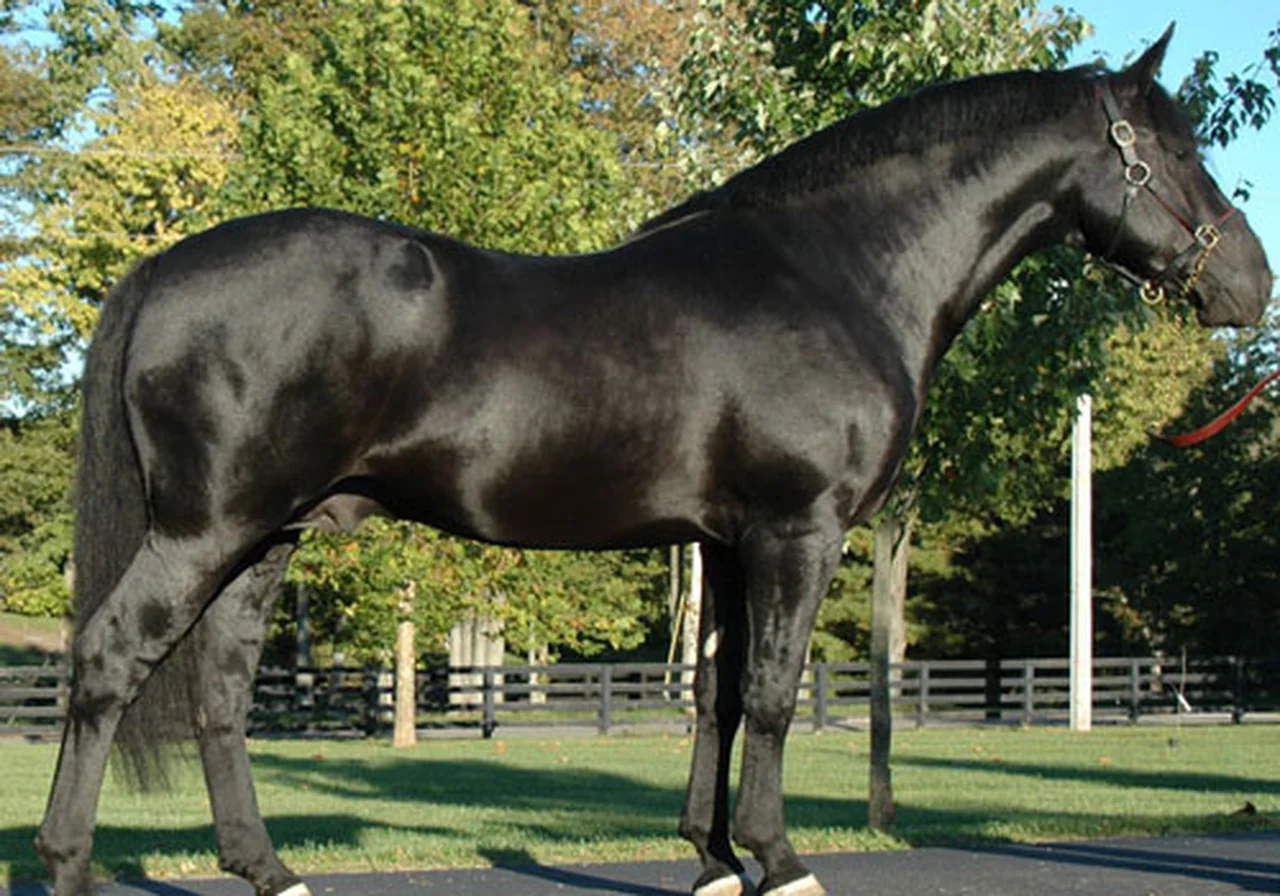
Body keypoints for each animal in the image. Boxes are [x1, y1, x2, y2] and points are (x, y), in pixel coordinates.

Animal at [37, 25, 1271, 896]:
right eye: (1170, 153)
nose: (1248, 284)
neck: (836, 270)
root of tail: (163, 269)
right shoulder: (798, 528)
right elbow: (771, 692)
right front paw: (780, 859)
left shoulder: (724, 542)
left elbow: (715, 696)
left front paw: (713, 856)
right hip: (206, 528)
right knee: (108, 659)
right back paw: (68, 863)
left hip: (268, 534)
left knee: (219, 688)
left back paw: (268, 868)